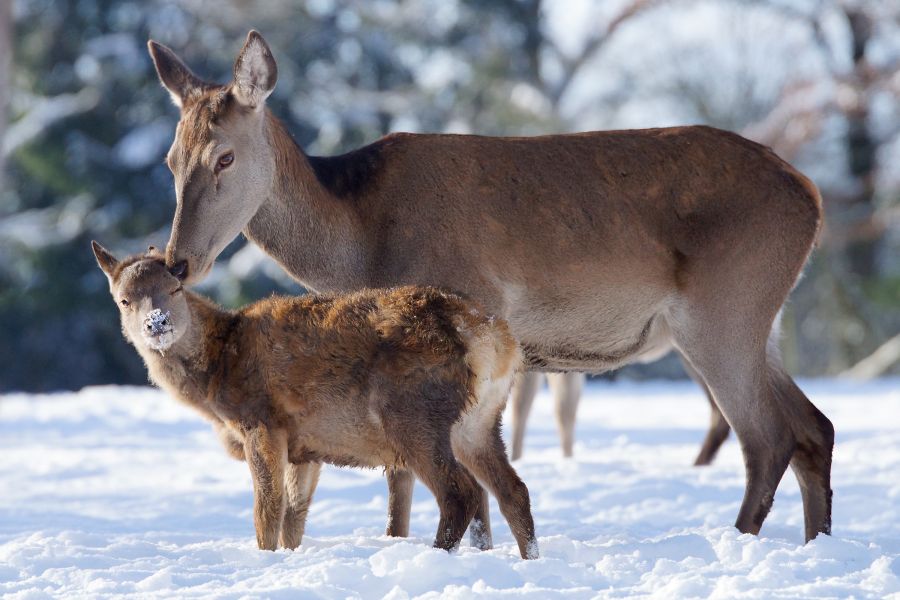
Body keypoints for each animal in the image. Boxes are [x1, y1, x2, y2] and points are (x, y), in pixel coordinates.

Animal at [95, 241, 536, 560]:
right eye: (124, 299)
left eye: (175, 289)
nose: (157, 324)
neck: (217, 373)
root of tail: (491, 336)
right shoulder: (306, 448)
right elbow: (294, 516)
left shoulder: (262, 420)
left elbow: (267, 510)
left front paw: (265, 559)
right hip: (479, 421)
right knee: (513, 490)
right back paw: (529, 558)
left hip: (413, 412)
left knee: (461, 492)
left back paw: (437, 554)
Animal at [149, 30, 836, 540]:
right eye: (170, 161)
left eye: (226, 156)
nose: (179, 261)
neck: (362, 240)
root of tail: (812, 195)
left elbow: (441, 484)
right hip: (763, 322)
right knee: (815, 427)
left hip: (723, 308)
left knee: (768, 437)